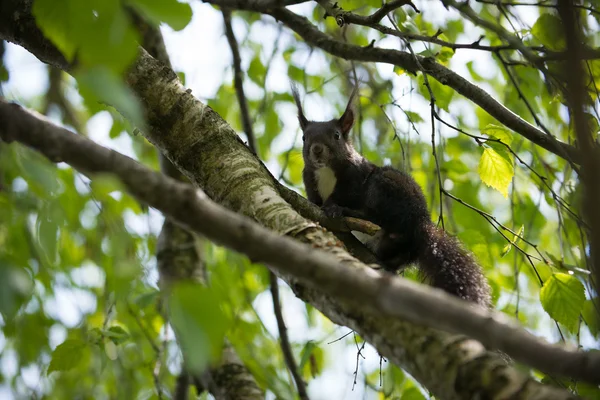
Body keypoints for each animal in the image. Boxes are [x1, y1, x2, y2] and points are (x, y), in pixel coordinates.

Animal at [290, 85, 492, 306]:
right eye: (304, 137)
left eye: (336, 135)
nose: (317, 149)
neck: (325, 170)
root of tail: (420, 224)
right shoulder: (310, 181)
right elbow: (314, 201)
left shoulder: (355, 177)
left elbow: (345, 194)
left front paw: (333, 207)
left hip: (384, 186)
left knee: (376, 216)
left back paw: (349, 213)